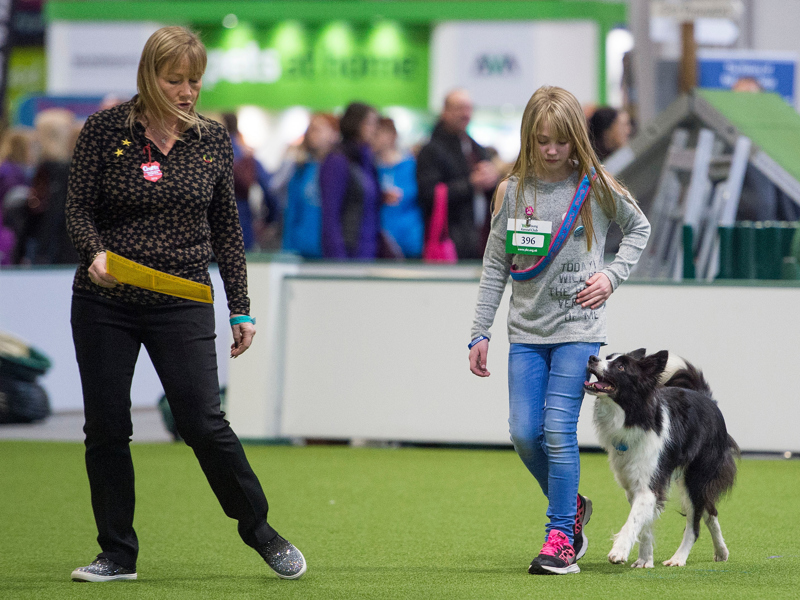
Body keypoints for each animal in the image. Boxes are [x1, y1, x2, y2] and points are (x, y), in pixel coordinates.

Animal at [580, 346, 736, 568]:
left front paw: (619, 551)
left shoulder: (651, 484)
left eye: (621, 366)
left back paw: (679, 558)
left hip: (695, 477)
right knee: (710, 510)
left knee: (695, 522)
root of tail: (706, 397)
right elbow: (644, 523)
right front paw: (645, 560)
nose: (592, 358)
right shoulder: (634, 487)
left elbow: (633, 520)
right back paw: (721, 552)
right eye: (607, 357)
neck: (632, 415)